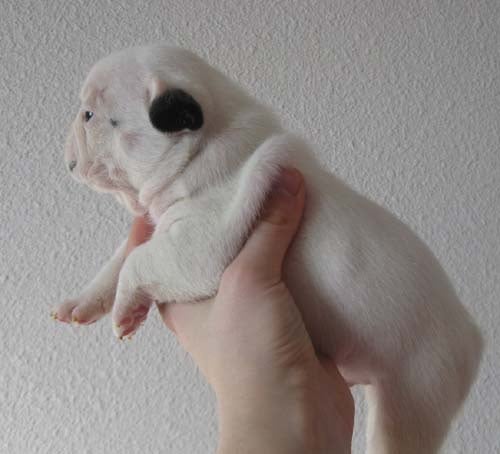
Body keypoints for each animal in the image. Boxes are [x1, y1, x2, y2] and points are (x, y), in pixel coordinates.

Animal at [54, 45, 483, 453]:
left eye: (89, 115)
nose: (66, 159)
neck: (201, 149)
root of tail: (472, 337)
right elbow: (120, 259)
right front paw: (83, 303)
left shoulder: (200, 242)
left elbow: (138, 261)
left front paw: (125, 312)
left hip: (414, 399)